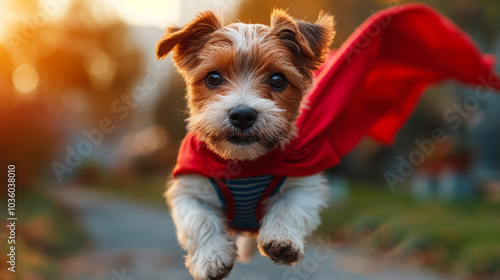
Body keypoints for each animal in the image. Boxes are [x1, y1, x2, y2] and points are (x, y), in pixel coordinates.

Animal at [156, 8, 336, 280]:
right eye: (213, 77)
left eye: (277, 79)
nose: (242, 115)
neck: (244, 163)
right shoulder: (188, 188)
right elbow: (199, 220)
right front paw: (211, 258)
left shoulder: (304, 182)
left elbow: (290, 206)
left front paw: (281, 239)